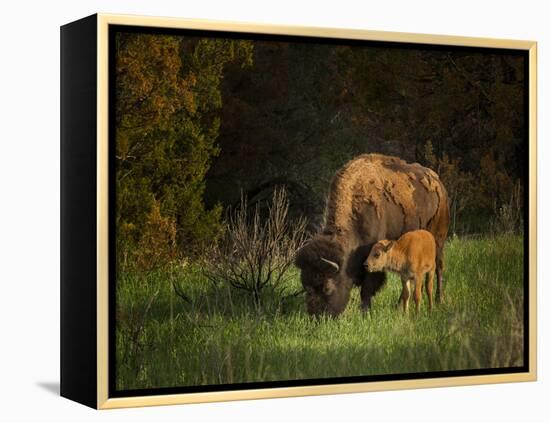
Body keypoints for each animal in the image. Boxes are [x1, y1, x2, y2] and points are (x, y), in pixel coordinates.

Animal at [296, 154, 450, 316]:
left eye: (326, 287)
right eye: (305, 286)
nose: (317, 316)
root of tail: (439, 183)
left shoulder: (372, 257)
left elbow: (367, 287)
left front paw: (365, 312)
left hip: (439, 239)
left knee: (439, 267)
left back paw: (439, 300)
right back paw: (399, 305)